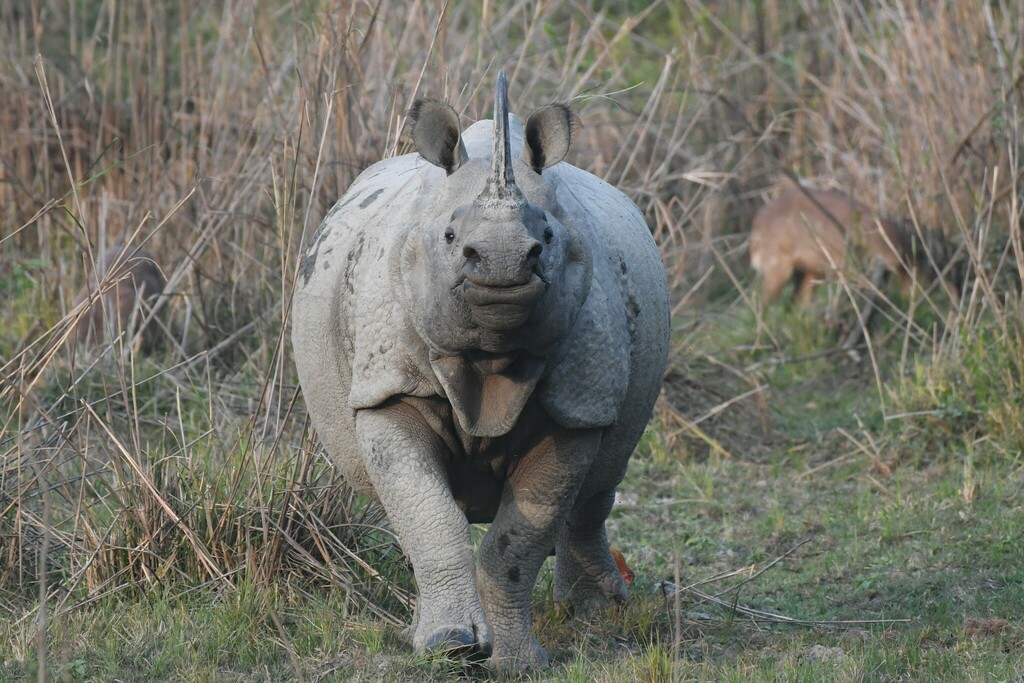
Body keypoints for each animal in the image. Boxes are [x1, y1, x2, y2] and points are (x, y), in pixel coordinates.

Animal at [292, 72, 669, 670]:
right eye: (450, 239)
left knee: (599, 484)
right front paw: (450, 646)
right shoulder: (388, 388)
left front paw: (517, 662)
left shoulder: (576, 405)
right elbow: (430, 514)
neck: (491, 356)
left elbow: (517, 539)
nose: (502, 263)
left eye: (548, 238)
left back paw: (596, 615)